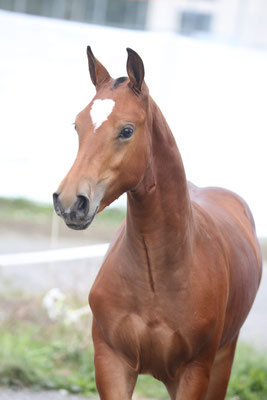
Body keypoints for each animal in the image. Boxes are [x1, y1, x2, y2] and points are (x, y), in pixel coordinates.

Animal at [53, 47, 262, 400]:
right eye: (77, 125)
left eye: (126, 130)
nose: (70, 203)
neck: (155, 278)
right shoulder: (112, 364)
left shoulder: (194, 374)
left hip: (222, 361)